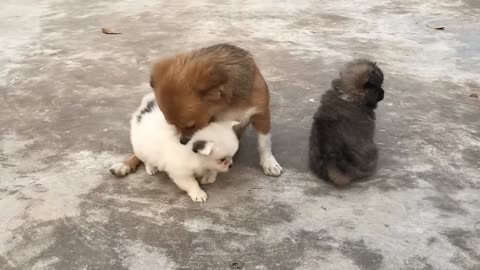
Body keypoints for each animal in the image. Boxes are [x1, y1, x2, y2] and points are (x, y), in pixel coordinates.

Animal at [109, 94, 239, 201]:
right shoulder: (181, 173)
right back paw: (151, 167)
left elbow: (211, 170)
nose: (231, 165)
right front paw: (198, 193)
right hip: (141, 146)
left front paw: (210, 175)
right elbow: (191, 183)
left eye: (230, 157)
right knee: (145, 158)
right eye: (222, 160)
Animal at [113, 42, 284, 177]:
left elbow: (264, 143)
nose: (182, 142)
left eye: (192, 125)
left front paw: (269, 163)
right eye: (173, 124)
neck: (231, 103)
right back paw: (125, 165)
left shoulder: (261, 115)